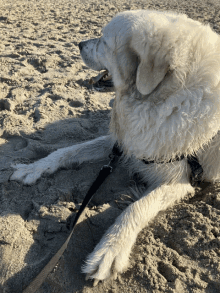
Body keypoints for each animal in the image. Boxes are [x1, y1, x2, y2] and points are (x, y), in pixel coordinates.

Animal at [10, 10, 220, 282]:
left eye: (104, 40)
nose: (79, 44)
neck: (160, 99)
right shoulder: (125, 141)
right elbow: (68, 150)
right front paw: (33, 168)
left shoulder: (181, 180)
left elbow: (137, 206)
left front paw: (109, 251)